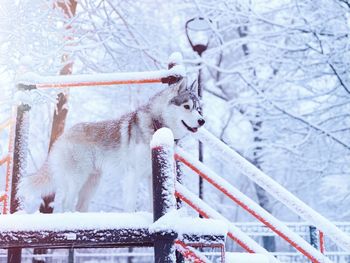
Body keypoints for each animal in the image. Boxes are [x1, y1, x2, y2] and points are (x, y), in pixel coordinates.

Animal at [19, 79, 205, 213]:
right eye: (187, 106)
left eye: (198, 108)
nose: (202, 121)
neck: (156, 125)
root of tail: (63, 136)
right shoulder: (132, 175)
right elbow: (130, 205)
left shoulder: (151, 176)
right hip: (78, 178)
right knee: (66, 203)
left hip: (92, 183)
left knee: (79, 206)